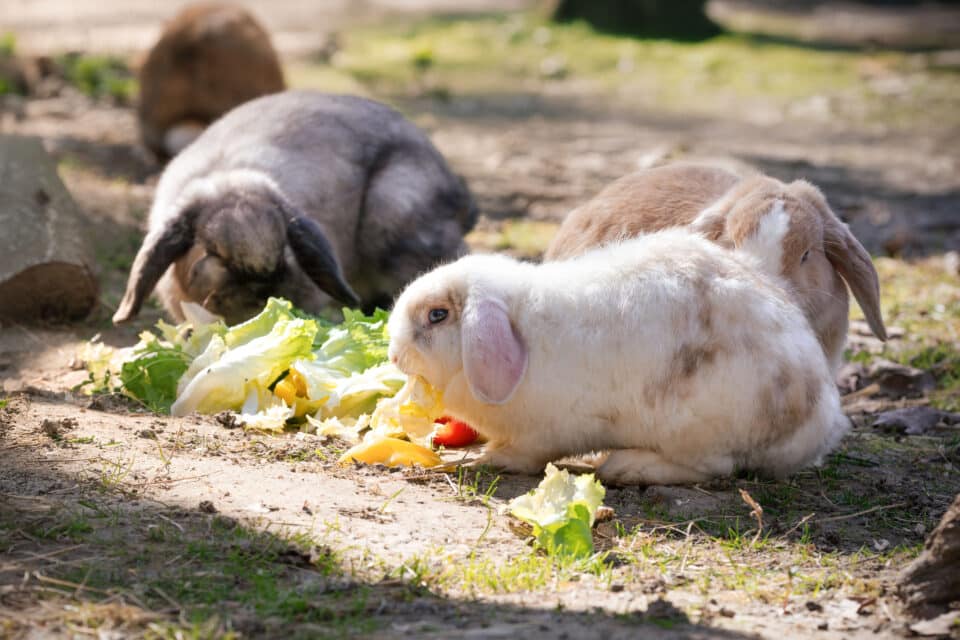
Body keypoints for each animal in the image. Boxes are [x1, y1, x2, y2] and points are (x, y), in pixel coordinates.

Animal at [387, 227, 851, 486]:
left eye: (436, 315)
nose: (393, 355)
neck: (524, 332)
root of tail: (819, 420)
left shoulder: (542, 435)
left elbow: (524, 455)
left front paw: (489, 459)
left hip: (697, 425)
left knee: (714, 468)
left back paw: (629, 468)